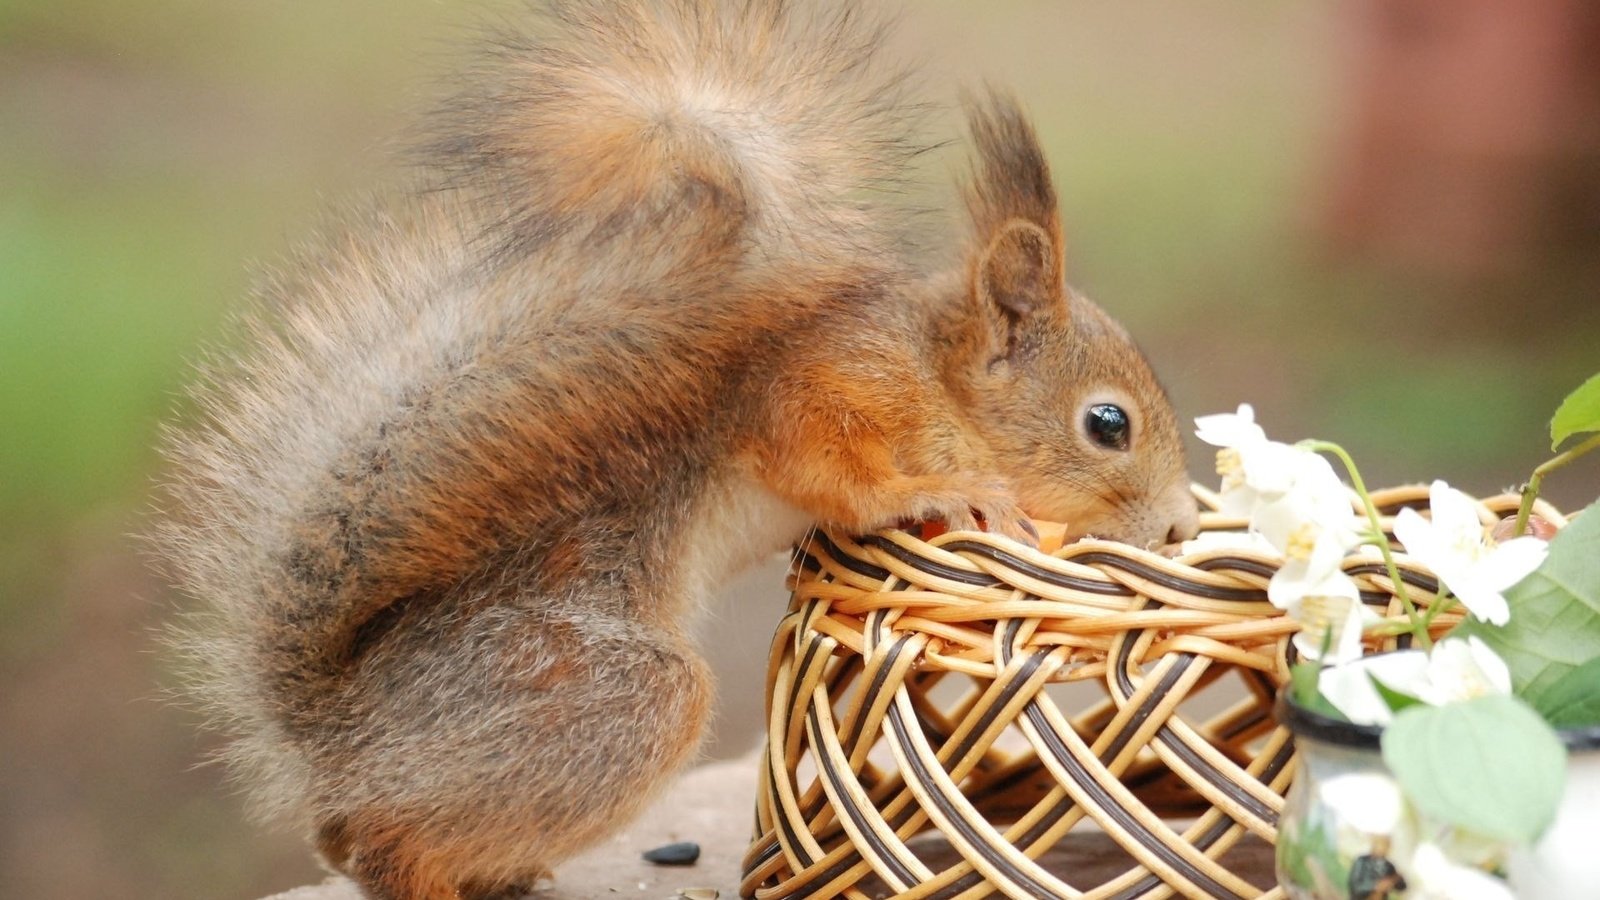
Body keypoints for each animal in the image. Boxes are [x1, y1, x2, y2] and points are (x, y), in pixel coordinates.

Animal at [152, 1, 1203, 896]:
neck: (937, 376)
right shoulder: (829, 386)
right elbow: (826, 464)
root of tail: (335, 735)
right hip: (605, 696)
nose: (1180, 523)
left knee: (346, 835)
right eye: (1108, 424)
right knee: (378, 841)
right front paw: (946, 494)